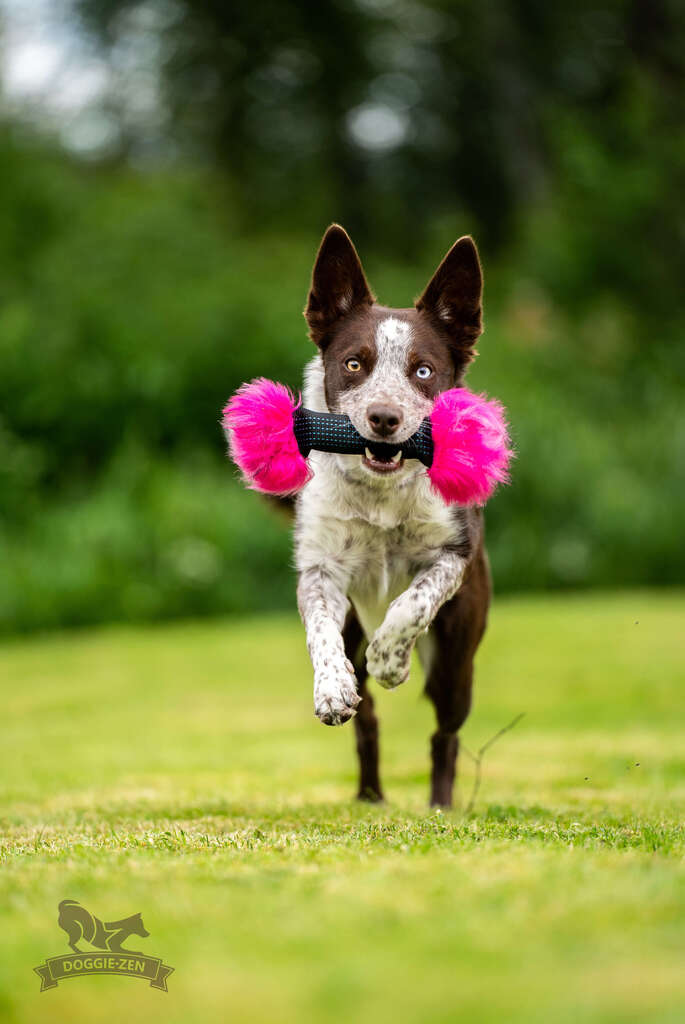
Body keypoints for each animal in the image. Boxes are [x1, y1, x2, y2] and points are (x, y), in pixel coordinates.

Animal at [294, 224, 491, 806]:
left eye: (422, 370)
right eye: (354, 363)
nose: (384, 418)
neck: (381, 493)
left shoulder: (454, 555)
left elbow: (411, 604)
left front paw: (389, 661)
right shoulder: (320, 570)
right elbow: (320, 631)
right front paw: (333, 690)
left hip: (457, 663)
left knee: (445, 734)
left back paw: (440, 805)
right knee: (369, 724)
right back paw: (369, 796)